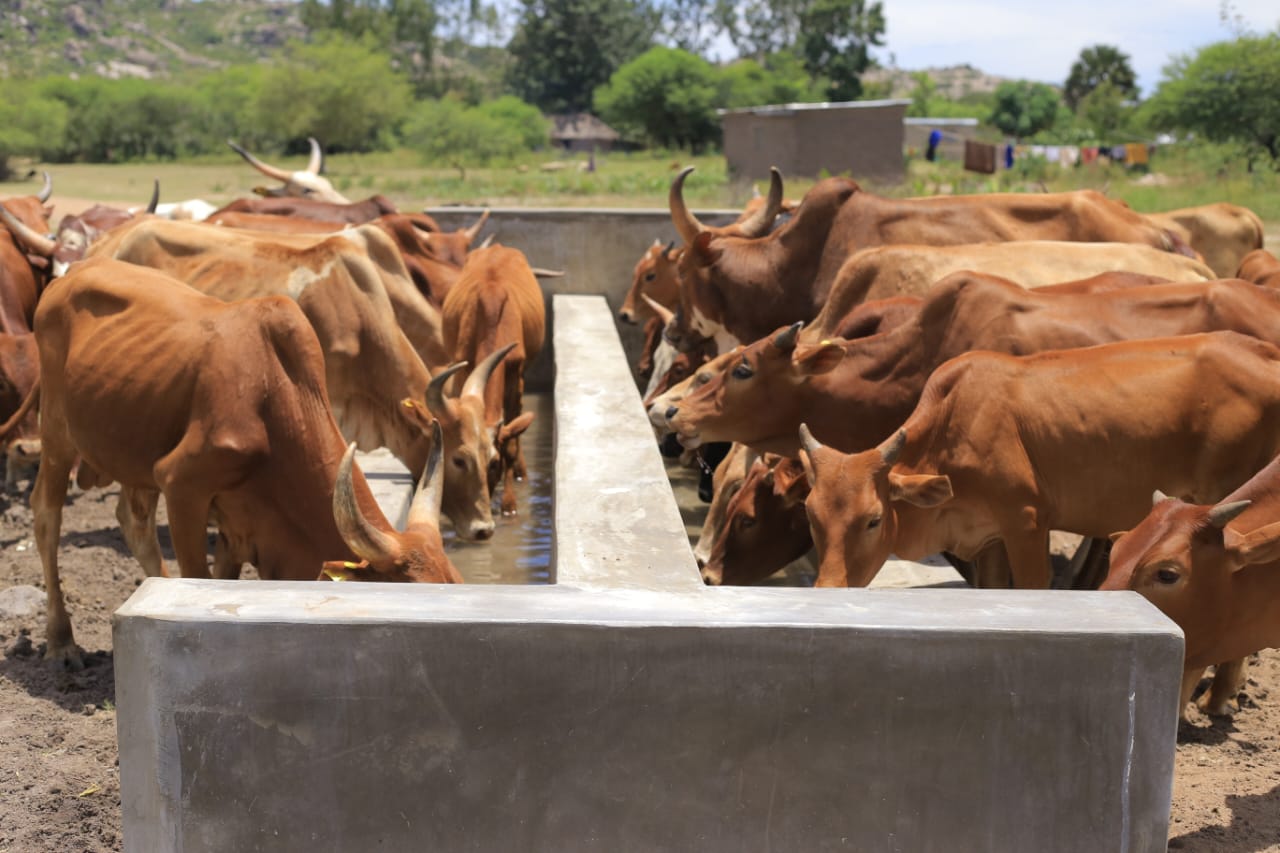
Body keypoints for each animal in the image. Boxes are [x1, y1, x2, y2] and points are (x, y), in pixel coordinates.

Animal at [28, 256, 465, 666]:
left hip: (133, 446)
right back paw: (61, 642)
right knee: (47, 517)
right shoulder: (181, 485)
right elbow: (198, 575)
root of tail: (74, 271)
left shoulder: (235, 525)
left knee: (134, 523)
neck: (277, 395)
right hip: (57, 433)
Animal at [440, 242, 545, 514]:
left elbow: (511, 441)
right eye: (460, 461)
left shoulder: (517, 376)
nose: (481, 499)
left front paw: (509, 504)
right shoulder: (461, 369)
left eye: (494, 463)